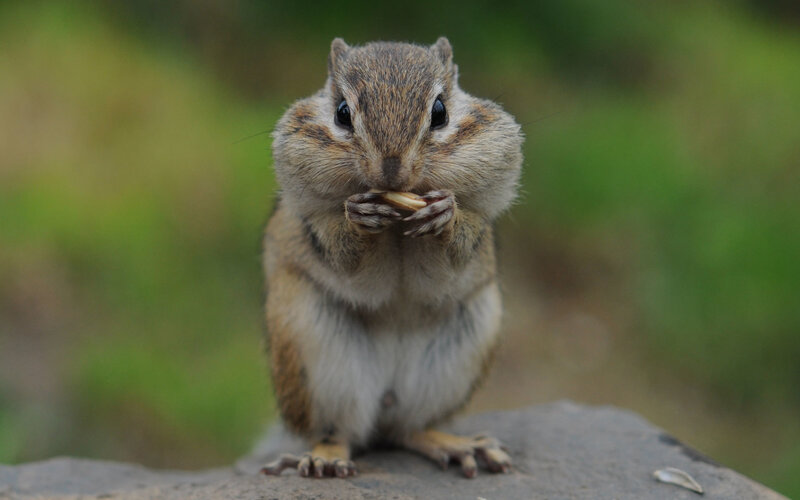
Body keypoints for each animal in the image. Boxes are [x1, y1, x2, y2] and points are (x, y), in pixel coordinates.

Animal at [260, 37, 523, 479]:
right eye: (342, 113)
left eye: (440, 112)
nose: (391, 171)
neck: (397, 226)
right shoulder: (315, 227)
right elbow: (345, 254)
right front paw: (359, 219)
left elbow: (457, 249)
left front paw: (445, 215)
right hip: (313, 353)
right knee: (341, 430)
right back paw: (325, 457)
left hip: (463, 347)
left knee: (409, 429)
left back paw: (457, 445)